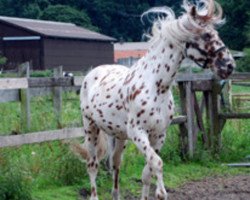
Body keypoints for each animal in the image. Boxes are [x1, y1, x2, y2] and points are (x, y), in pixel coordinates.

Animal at [73, 0, 236, 199]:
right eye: (206, 35)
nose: (229, 65)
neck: (155, 86)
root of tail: (91, 74)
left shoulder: (158, 135)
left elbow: (147, 171)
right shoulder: (139, 133)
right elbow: (157, 163)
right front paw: (161, 192)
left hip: (118, 135)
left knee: (115, 164)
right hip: (91, 128)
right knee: (92, 165)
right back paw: (94, 193)